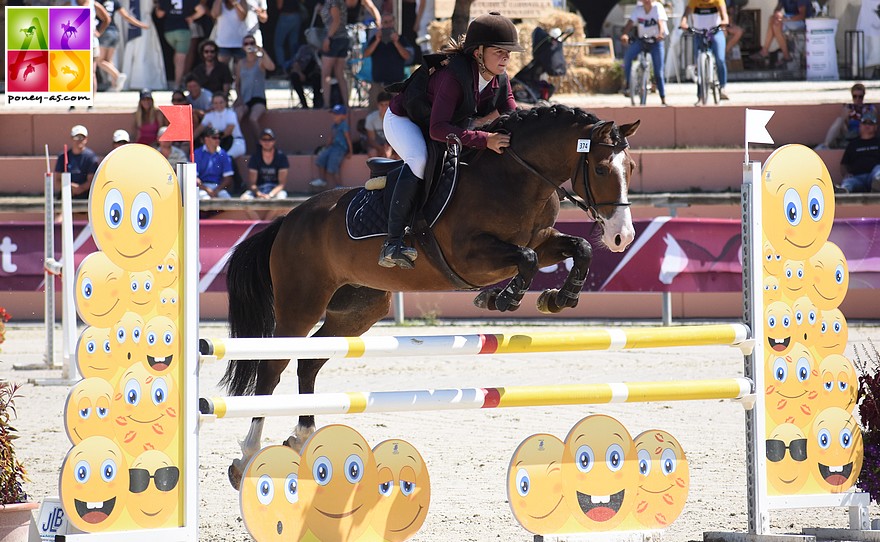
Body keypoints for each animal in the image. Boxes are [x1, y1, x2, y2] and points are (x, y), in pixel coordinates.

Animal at [217, 104, 636, 490]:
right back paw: (247, 457)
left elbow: (579, 248)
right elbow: (527, 260)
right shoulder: (471, 256)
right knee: (272, 367)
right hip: (300, 305)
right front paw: (502, 299)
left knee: (309, 362)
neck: (516, 177)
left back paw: (301, 437)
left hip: (358, 310)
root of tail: (288, 220)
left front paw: (556, 298)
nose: (623, 237)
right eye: (601, 170)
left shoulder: (542, 240)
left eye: (630, 167)